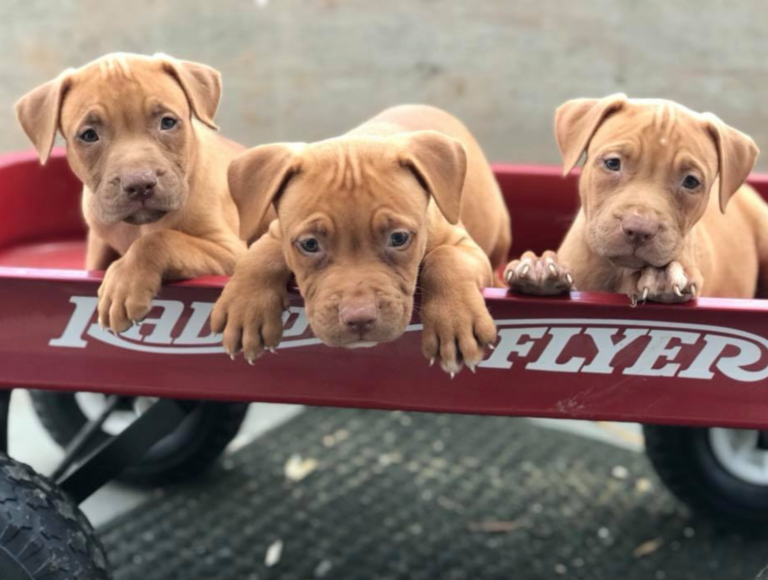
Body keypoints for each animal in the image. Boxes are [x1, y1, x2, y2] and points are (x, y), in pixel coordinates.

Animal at [14, 52, 249, 334]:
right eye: (89, 135)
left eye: (168, 122)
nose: (140, 184)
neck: (137, 227)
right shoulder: (100, 240)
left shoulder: (233, 253)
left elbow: (158, 239)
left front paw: (123, 285)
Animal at [212, 105, 510, 376]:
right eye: (309, 244)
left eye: (399, 238)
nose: (359, 319)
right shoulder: (278, 229)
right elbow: (260, 253)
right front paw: (246, 308)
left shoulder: (466, 247)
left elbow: (446, 259)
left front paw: (454, 322)